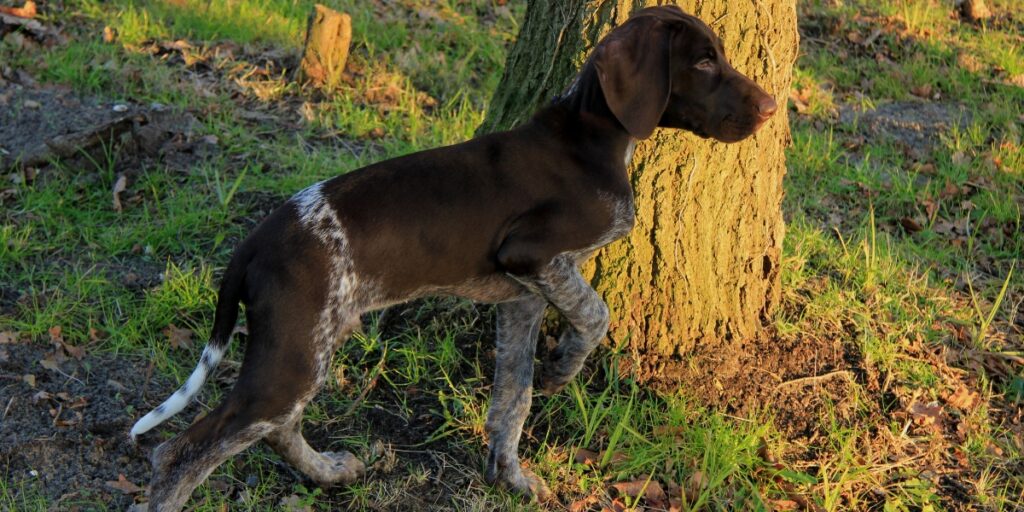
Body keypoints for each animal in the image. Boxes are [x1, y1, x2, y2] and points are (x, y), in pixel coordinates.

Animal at [130, 6, 774, 509]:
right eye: (703, 63)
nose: (772, 107)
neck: (589, 136)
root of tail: (258, 238)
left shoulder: (523, 298)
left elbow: (512, 402)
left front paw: (512, 478)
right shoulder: (532, 255)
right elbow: (596, 315)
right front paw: (563, 369)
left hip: (308, 346)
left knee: (275, 430)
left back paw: (329, 471)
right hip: (292, 357)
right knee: (178, 452)